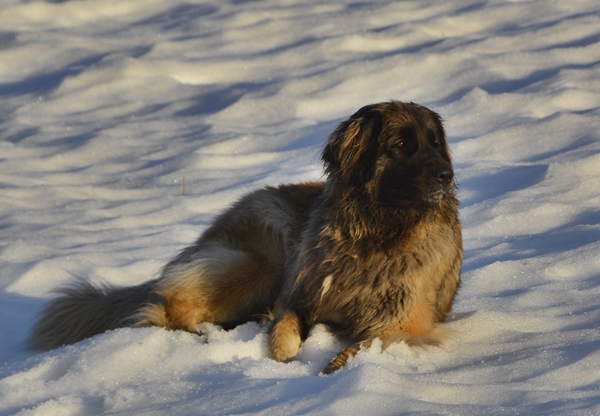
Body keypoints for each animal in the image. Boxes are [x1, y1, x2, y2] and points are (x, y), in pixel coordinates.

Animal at [29, 101, 464, 374]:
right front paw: (287, 357)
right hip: (262, 261)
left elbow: (363, 343)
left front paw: (333, 366)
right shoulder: (296, 295)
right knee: (168, 309)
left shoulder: (406, 323)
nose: (447, 174)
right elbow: (284, 335)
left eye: (435, 143)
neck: (374, 233)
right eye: (402, 145)